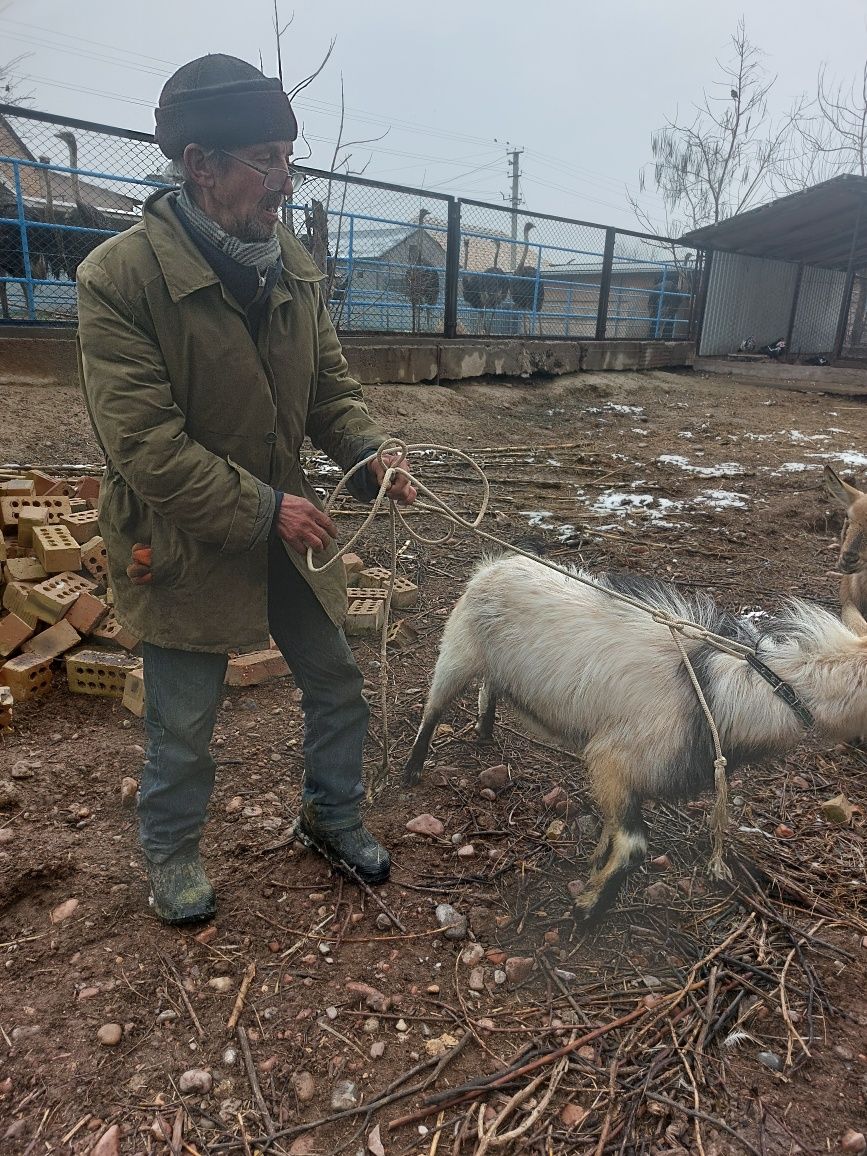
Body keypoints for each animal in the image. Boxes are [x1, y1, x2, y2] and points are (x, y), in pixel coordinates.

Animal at [406, 557, 867, 920]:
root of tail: (496, 565)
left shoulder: (627, 775)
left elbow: (615, 830)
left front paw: (595, 866)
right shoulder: (613, 758)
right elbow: (633, 843)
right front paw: (588, 910)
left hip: (492, 662)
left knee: (490, 686)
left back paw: (484, 732)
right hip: (458, 649)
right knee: (434, 708)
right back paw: (413, 768)